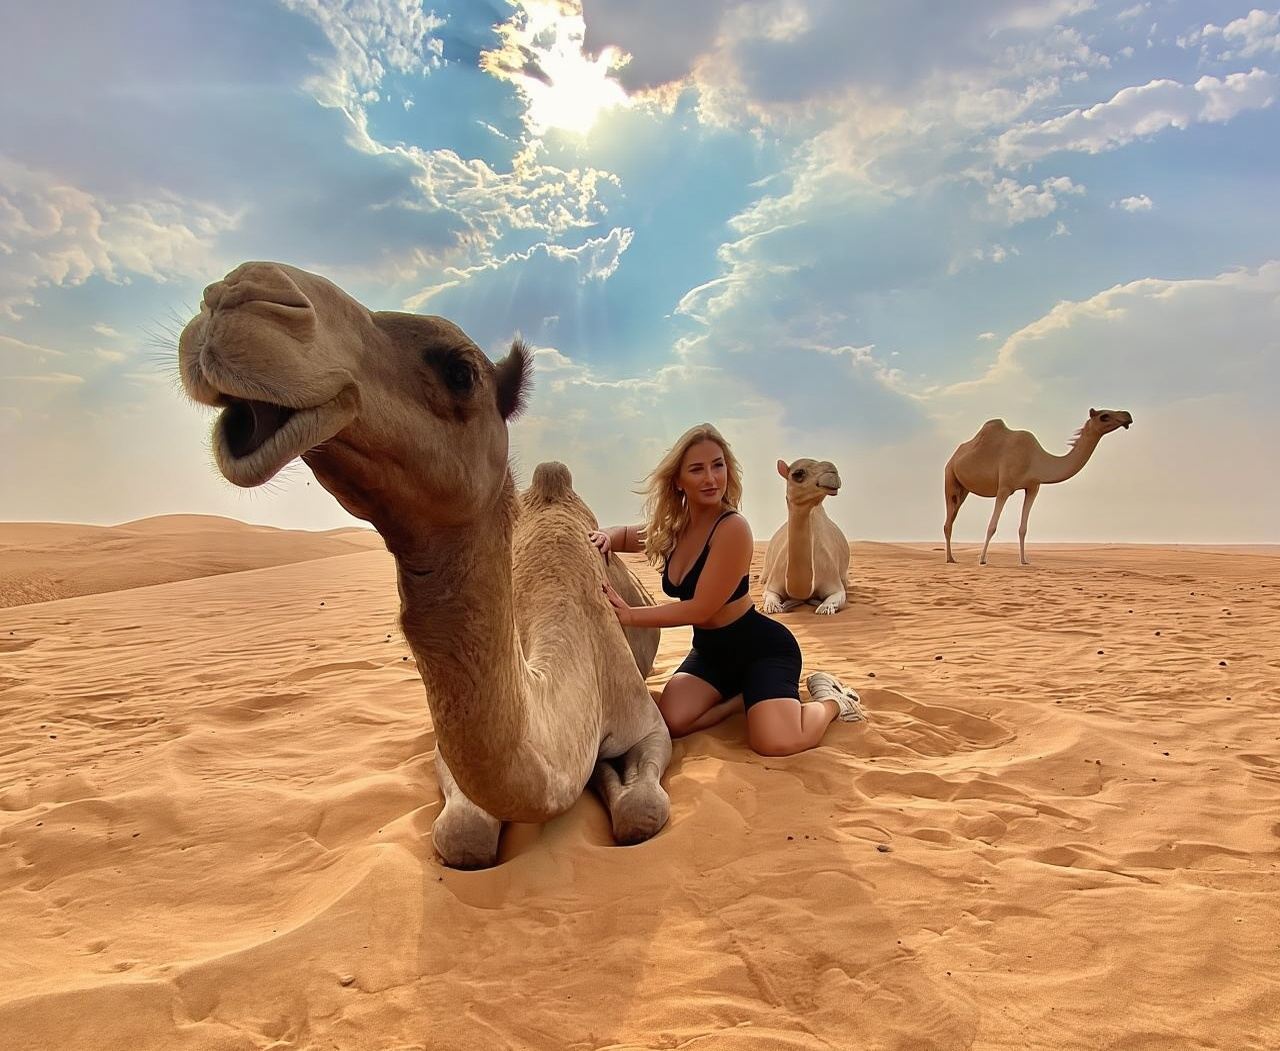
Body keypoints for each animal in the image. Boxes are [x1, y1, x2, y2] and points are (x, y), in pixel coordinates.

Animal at [177, 261, 671, 869]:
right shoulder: (448, 759)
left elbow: (642, 810)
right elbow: (461, 835)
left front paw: (610, 777)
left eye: (460, 372)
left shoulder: (648, 722)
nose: (232, 294)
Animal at [761, 458, 851, 615]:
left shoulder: (833, 581)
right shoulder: (772, 584)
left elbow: (832, 601)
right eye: (798, 473)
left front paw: (821, 606)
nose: (833, 472)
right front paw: (779, 606)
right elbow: (770, 601)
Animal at [943, 409, 1133, 566]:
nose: (1128, 416)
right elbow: (992, 526)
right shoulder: (1004, 488)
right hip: (950, 477)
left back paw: (952, 557)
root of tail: (953, 456)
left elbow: (1023, 528)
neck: (1036, 459)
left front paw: (1024, 561)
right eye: (1104, 416)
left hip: (964, 489)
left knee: (952, 517)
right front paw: (982, 560)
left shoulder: (1033, 487)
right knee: (948, 521)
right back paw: (950, 559)